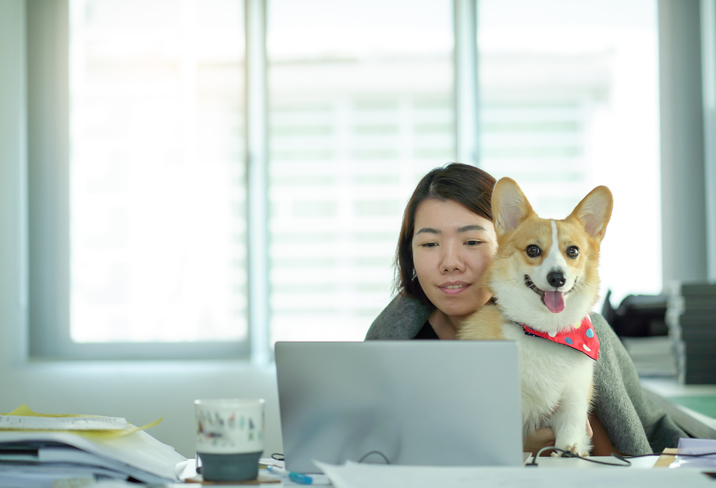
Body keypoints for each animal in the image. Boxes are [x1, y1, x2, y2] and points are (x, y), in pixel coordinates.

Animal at [458, 178, 616, 458]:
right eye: (533, 249)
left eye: (572, 251)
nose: (557, 278)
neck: (546, 331)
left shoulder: (573, 402)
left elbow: (569, 438)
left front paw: (570, 452)